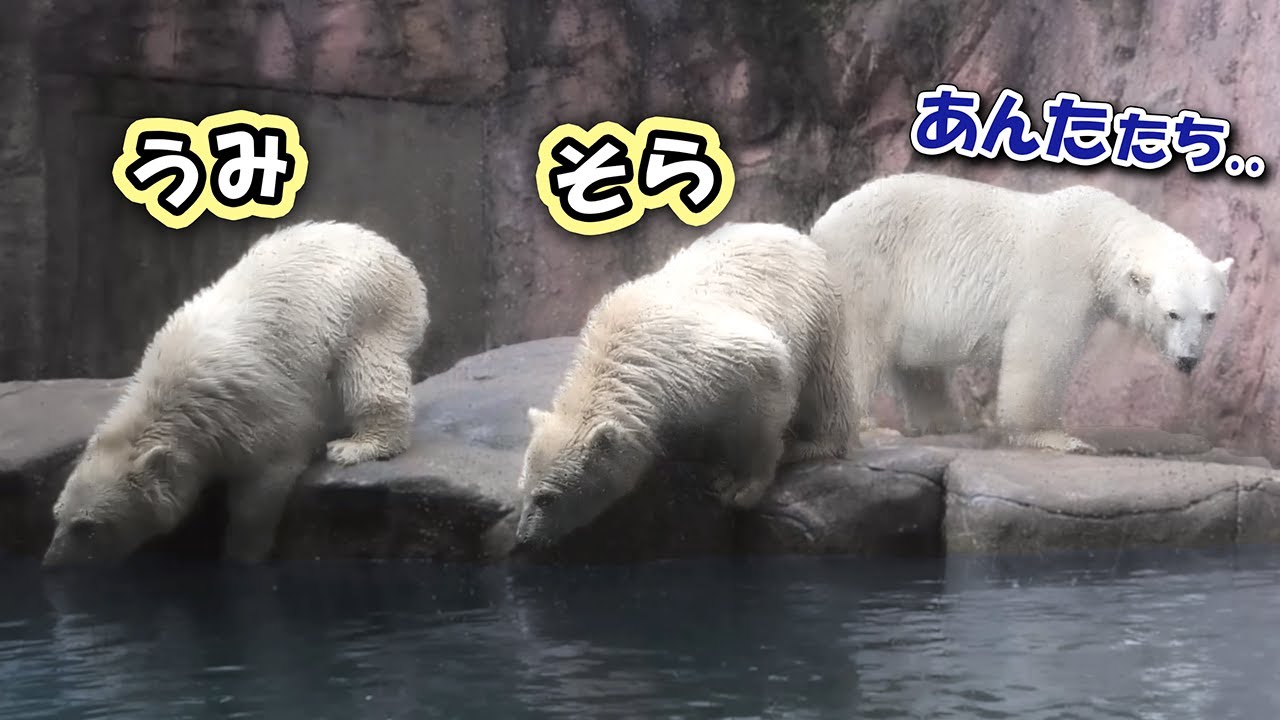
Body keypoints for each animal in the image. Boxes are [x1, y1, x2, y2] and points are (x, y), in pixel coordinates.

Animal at [43, 220, 430, 567]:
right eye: (57, 515)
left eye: (88, 526)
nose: (51, 563)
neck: (175, 398)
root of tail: (382, 244)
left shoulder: (253, 410)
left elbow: (262, 487)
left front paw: (239, 554)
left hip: (370, 310)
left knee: (369, 372)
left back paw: (358, 445)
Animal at [513, 221, 856, 549]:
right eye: (523, 488)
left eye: (547, 498)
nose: (524, 539)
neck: (625, 364)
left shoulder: (712, 364)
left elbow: (764, 396)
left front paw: (738, 486)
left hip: (818, 311)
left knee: (825, 382)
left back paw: (813, 443)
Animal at [808, 172, 1234, 453]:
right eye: (1172, 314)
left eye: (1210, 315)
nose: (1188, 360)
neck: (1099, 234)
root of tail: (819, 227)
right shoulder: (1060, 276)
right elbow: (1039, 350)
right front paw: (1061, 438)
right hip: (865, 267)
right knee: (857, 343)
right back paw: (870, 428)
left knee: (919, 366)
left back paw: (947, 423)